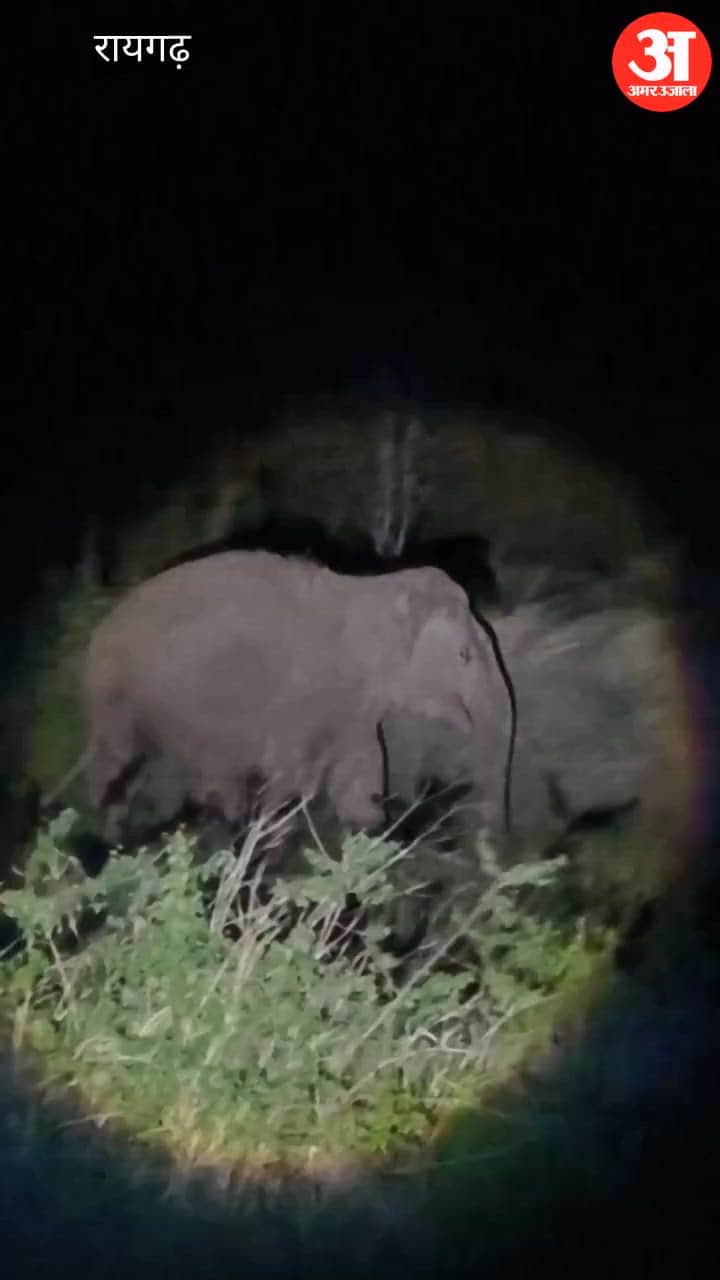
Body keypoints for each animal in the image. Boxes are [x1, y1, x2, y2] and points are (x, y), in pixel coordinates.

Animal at [82, 550, 515, 852]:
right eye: (464, 655)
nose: (490, 843)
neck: (371, 589)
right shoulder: (303, 694)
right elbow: (291, 780)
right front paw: (272, 844)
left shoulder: (352, 706)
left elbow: (359, 776)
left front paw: (370, 833)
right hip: (115, 693)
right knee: (118, 766)